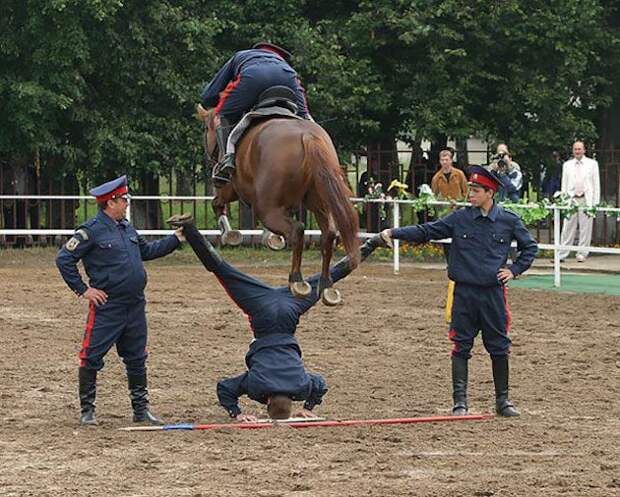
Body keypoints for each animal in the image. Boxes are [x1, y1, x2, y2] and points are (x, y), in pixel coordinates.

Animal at [196, 103, 360, 306]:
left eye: (206, 129)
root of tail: (307, 136)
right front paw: (271, 238)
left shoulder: (229, 187)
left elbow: (217, 203)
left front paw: (229, 234)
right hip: (319, 203)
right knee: (328, 235)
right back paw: (326, 285)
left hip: (267, 209)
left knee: (297, 230)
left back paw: (296, 280)